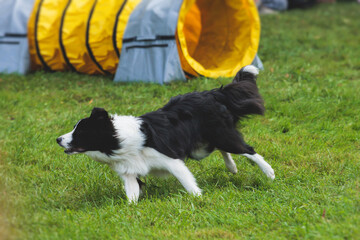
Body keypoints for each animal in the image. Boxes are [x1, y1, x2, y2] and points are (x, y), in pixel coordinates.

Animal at [57, 66, 274, 202]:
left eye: (81, 131)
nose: (58, 139)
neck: (118, 140)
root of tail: (212, 93)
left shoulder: (171, 160)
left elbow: (188, 182)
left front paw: (199, 199)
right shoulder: (129, 171)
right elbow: (132, 194)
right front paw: (129, 210)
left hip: (221, 135)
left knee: (247, 149)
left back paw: (269, 173)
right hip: (201, 148)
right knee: (221, 149)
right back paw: (232, 167)